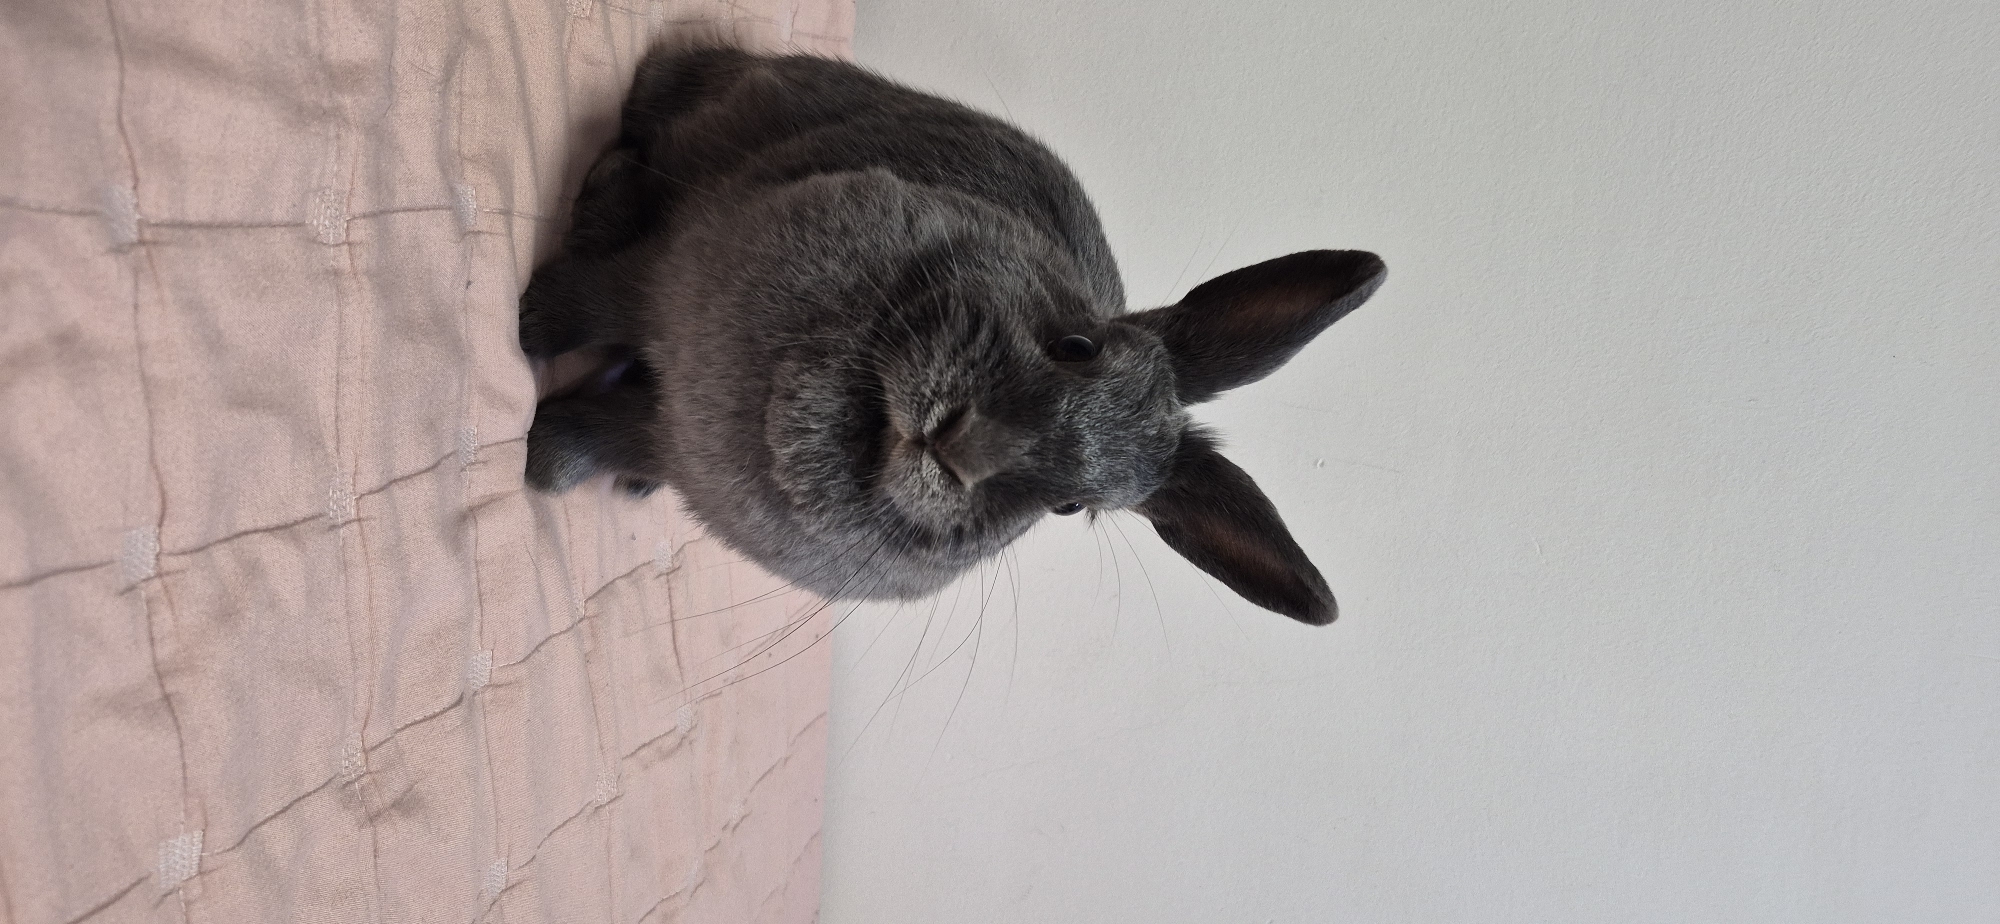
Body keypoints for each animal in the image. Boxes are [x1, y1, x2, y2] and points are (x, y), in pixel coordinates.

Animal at [519, 46, 1385, 625]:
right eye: (1079, 344)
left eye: (1069, 508)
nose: (966, 446)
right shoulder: (677, 269)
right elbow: (600, 302)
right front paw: (529, 331)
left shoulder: (671, 438)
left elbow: (604, 434)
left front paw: (544, 457)